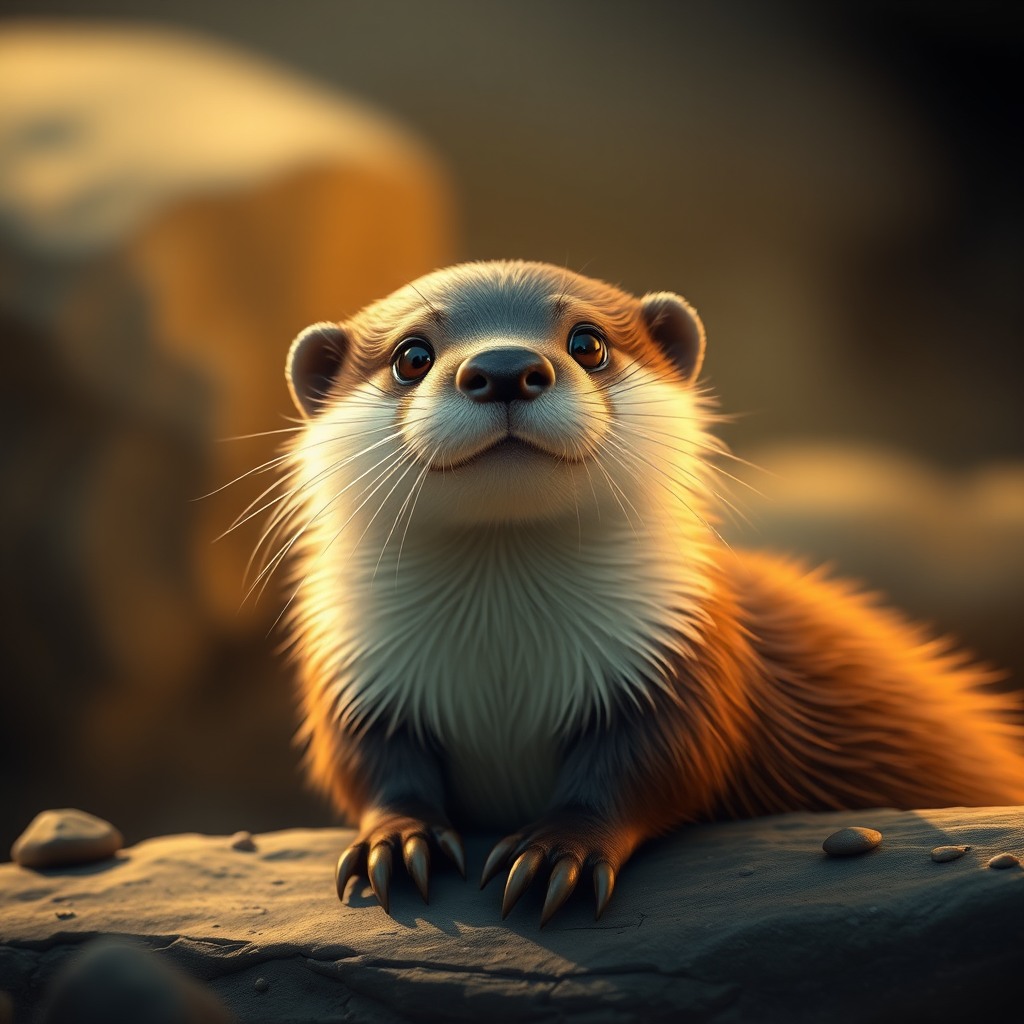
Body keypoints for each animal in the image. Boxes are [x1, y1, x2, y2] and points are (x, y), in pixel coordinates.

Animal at [265, 260, 1024, 926]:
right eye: (411, 355)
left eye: (588, 342)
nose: (506, 368)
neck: (504, 671)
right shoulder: (353, 673)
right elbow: (369, 765)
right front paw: (395, 840)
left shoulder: (680, 655)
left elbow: (653, 764)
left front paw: (556, 851)